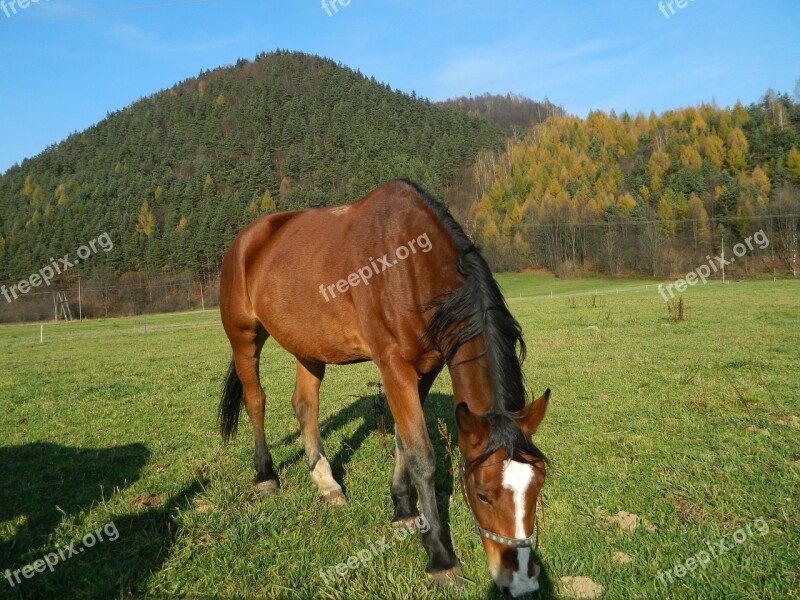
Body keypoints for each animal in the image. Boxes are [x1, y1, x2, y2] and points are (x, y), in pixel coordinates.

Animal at [219, 178, 552, 596]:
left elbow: (401, 440)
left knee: (304, 404)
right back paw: (265, 476)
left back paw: (326, 483)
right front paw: (440, 557)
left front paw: (403, 509)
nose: (520, 580)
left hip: (307, 346)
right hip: (243, 335)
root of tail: (246, 239)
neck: (409, 264)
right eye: (483, 494)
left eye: (537, 485)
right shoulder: (394, 366)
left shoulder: (424, 368)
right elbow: (422, 456)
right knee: (256, 401)